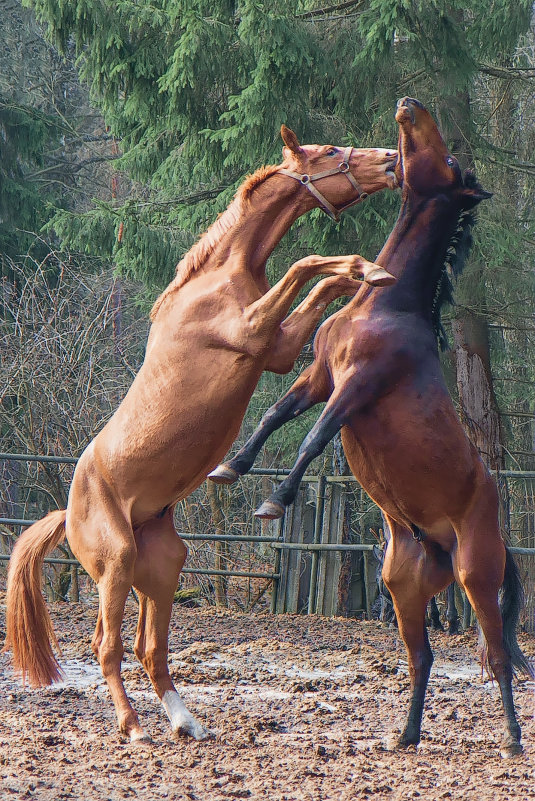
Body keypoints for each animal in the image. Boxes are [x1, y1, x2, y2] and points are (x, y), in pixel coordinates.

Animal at [4, 125, 398, 744]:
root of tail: (66, 512)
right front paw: (368, 268)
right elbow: (306, 265)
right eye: (332, 153)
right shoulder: (256, 332)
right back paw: (134, 727)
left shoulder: (277, 347)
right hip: (115, 563)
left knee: (151, 648)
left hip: (161, 568)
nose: (391, 160)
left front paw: (368, 271)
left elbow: (317, 282)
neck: (217, 279)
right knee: (107, 645)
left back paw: (185, 721)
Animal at [211, 98, 532, 756]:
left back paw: (513, 739)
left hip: (476, 576)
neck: (387, 306)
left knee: (496, 656)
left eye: (449, 160)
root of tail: (446, 545)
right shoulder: (320, 376)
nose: (410, 106)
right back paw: (404, 736)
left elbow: (313, 437)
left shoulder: (356, 389)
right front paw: (232, 467)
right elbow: (277, 415)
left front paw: (276, 502)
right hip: (405, 590)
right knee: (423, 657)